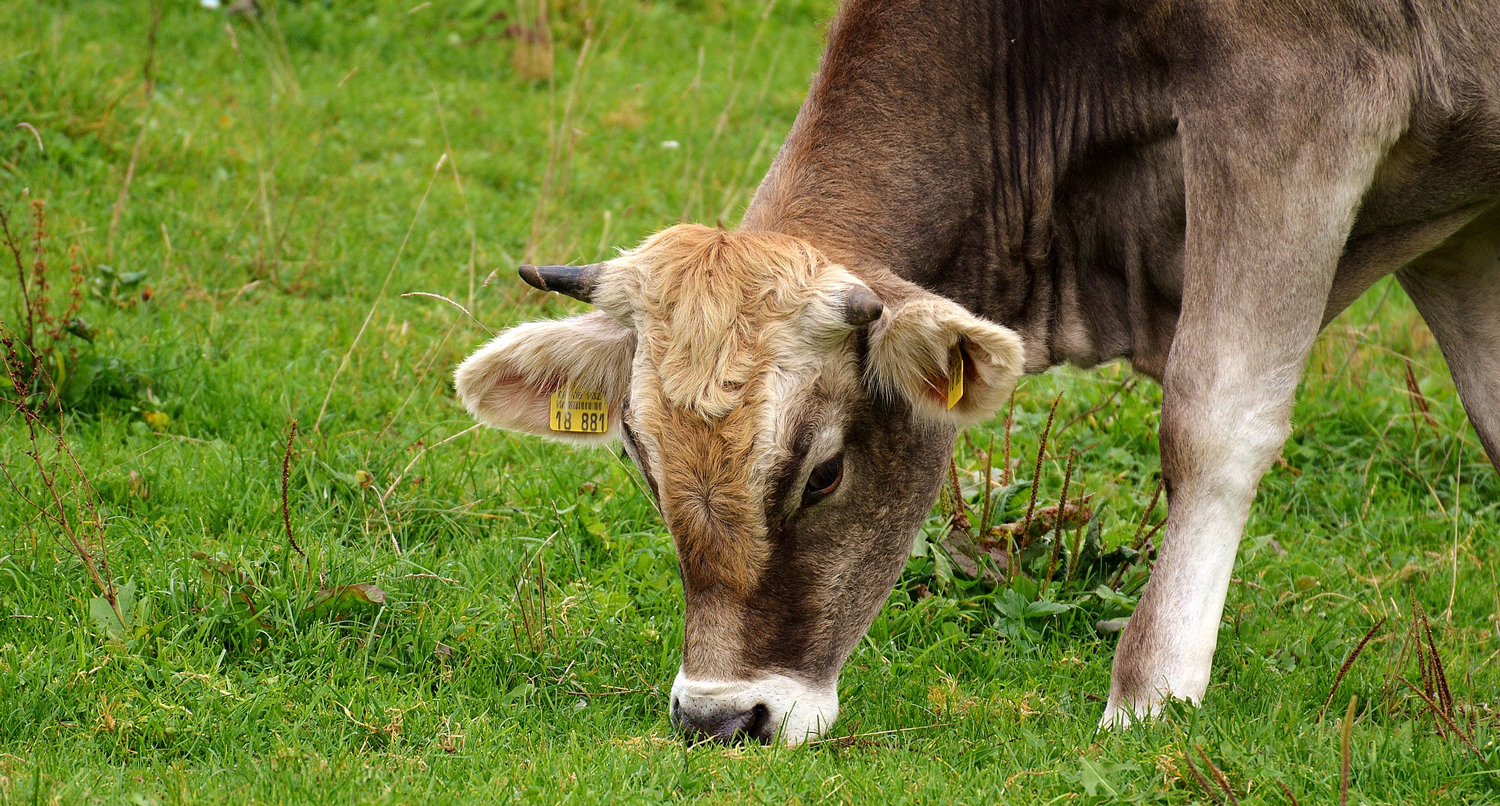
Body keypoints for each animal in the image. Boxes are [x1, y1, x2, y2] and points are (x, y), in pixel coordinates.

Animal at [453, 0, 1500, 741]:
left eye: (824, 473)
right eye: (641, 461)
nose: (720, 719)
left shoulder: (1300, 103)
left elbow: (1213, 417)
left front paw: (1150, 696)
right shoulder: (1459, 214)